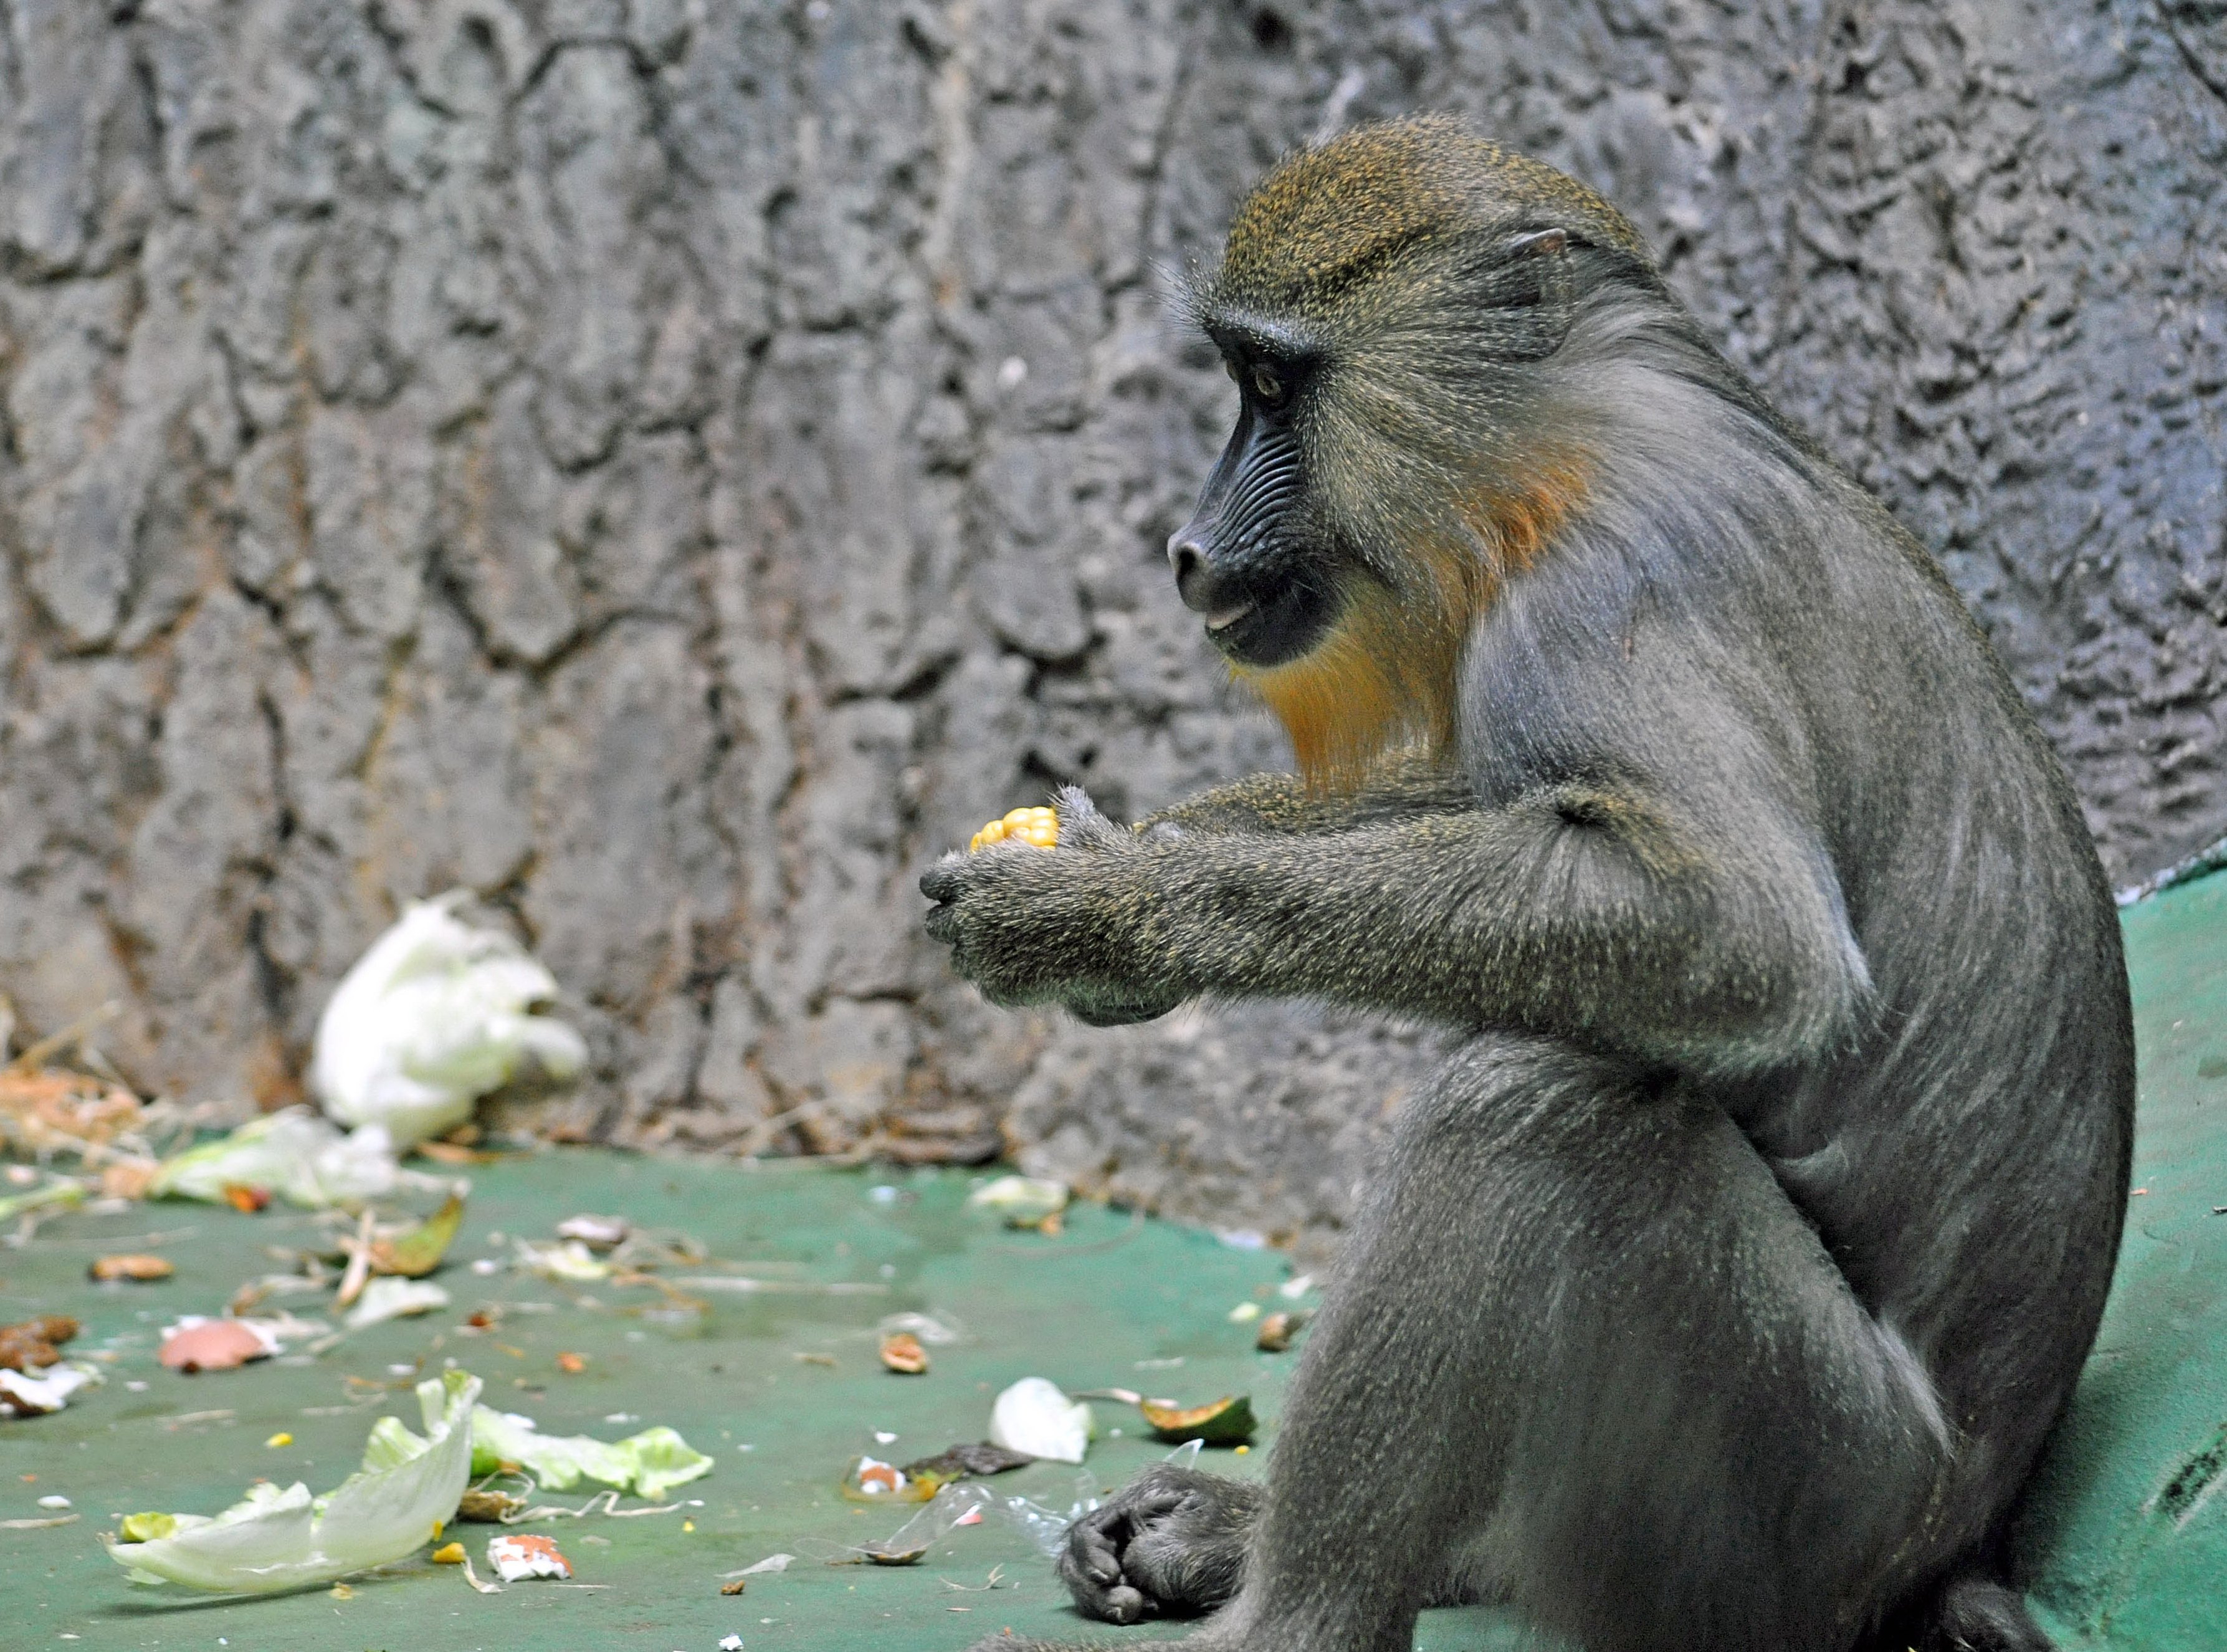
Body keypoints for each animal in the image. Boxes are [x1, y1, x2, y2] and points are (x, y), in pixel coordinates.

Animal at [917, 116, 2120, 1652]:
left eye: (1270, 383)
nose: (1186, 548)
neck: (1581, 441)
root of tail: (1947, 1544)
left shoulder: (1610, 592)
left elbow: (1739, 933)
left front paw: (1105, 914)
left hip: (1789, 1515)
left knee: (1537, 1108)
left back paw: (1293, 1610)